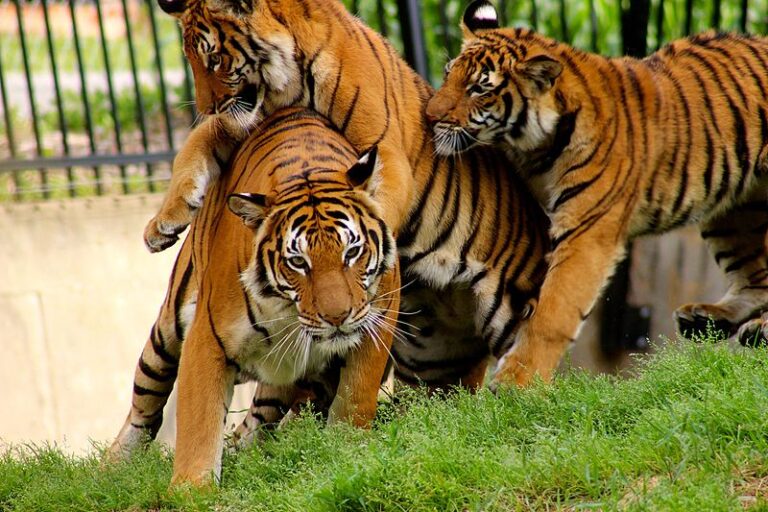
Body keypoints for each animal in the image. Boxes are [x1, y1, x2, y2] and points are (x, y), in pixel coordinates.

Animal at [108, 108, 401, 486]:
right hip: (167, 336)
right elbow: (199, 423)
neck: (288, 311)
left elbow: (356, 395)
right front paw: (191, 490)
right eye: (298, 262)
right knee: (145, 406)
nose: (337, 318)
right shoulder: (207, 339)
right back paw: (112, 467)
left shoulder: (378, 316)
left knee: (258, 421)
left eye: (352, 252)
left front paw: (345, 448)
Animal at [144, 0, 426, 252]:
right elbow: (187, 153)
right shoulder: (236, 121)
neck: (291, 83)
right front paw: (160, 225)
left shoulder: (384, 147)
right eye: (190, 61)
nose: (206, 109)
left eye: (214, 59)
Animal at [426, 0, 768, 388]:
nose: (430, 117)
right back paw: (707, 318)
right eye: (449, 74)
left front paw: (518, 379)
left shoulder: (586, 233)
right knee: (756, 278)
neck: (534, 149)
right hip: (733, 213)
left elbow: (553, 311)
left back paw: (757, 328)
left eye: (479, 90)